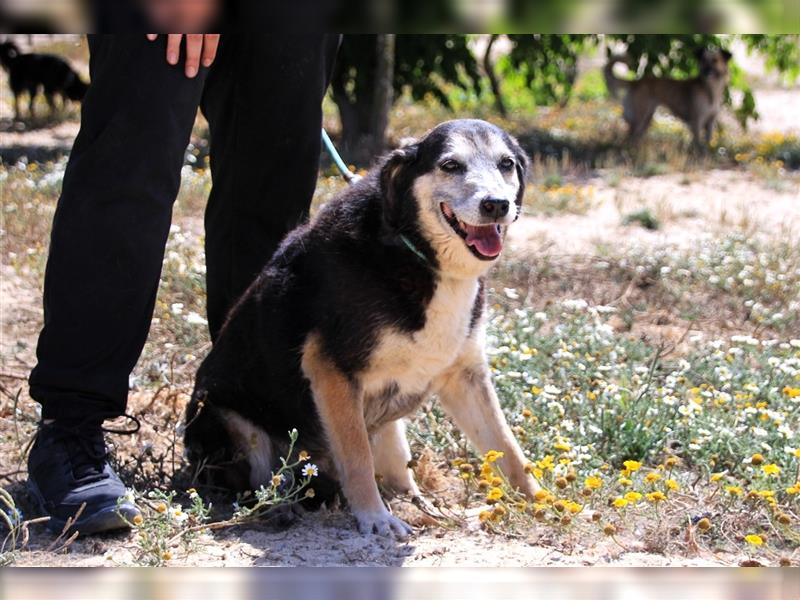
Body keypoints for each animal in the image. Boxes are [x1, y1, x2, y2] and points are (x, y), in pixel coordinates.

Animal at [184, 119, 540, 536]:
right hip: (233, 421)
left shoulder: (466, 376)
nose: (497, 205)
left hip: (390, 430)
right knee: (263, 482)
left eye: (506, 164)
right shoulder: (332, 372)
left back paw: (424, 506)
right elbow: (356, 458)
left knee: (398, 473)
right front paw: (374, 517)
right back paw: (282, 509)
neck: (413, 251)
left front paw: (544, 502)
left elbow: (508, 446)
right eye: (450, 165)